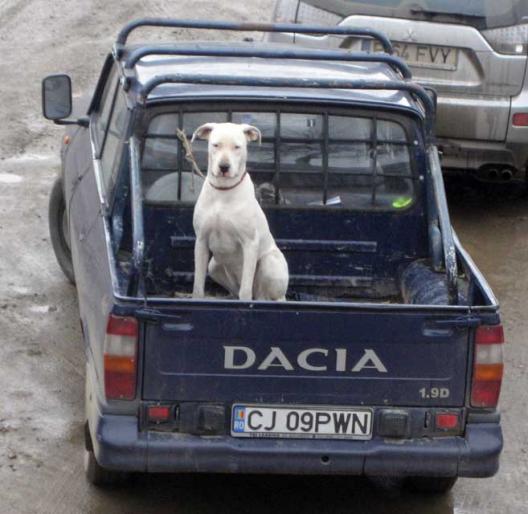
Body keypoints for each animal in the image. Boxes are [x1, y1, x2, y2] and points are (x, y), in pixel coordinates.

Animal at [191, 121, 288, 300]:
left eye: (237, 147)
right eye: (215, 145)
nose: (224, 167)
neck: (223, 192)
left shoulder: (250, 244)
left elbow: (245, 290)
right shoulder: (201, 241)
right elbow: (198, 286)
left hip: (270, 262)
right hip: (214, 265)